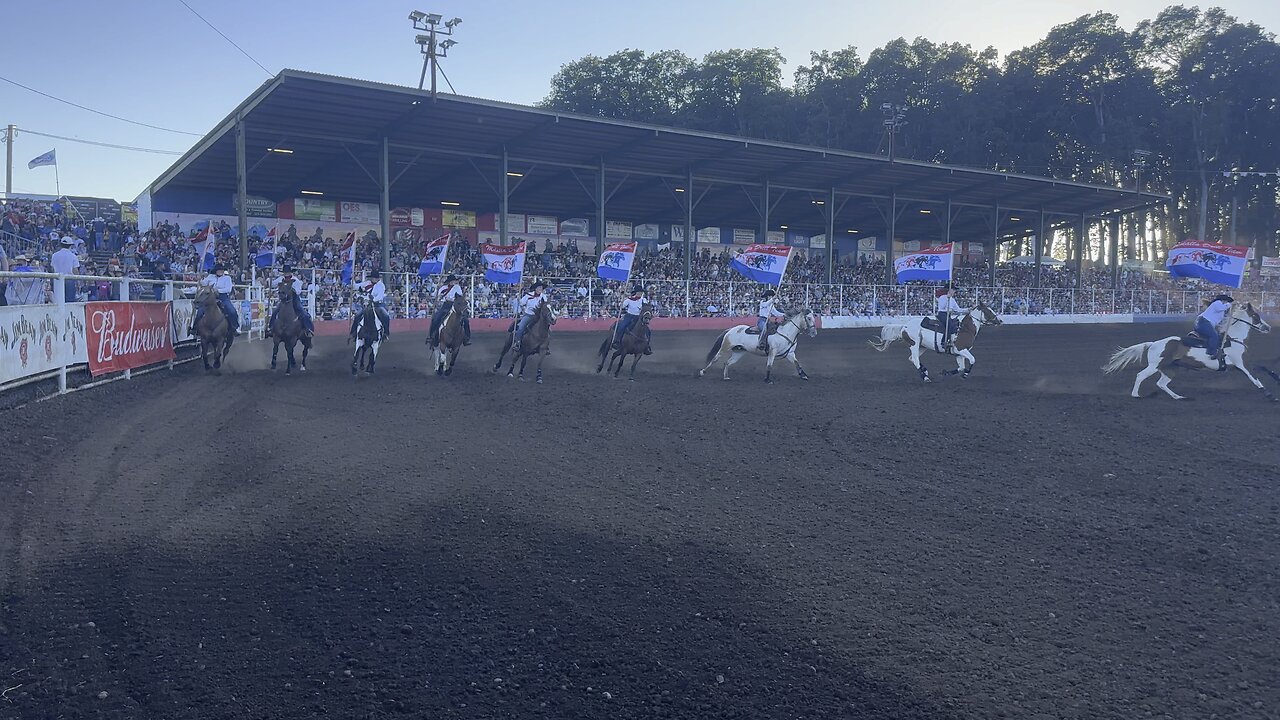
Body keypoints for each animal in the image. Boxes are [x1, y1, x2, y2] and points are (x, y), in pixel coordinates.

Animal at [865, 299, 1003, 381]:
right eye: (989, 311)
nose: (1000, 320)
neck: (965, 328)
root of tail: (904, 326)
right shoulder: (961, 349)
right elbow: (973, 360)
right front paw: (965, 374)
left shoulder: (958, 353)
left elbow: (961, 367)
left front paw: (946, 373)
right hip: (914, 345)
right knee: (915, 359)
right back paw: (925, 377)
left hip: (922, 347)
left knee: (912, 359)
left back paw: (925, 372)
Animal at [1100, 297, 1269, 397]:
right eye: (1256, 317)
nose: (1267, 327)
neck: (1232, 339)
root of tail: (1154, 343)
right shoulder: (1239, 363)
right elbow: (1251, 375)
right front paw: (1264, 389)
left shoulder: (1235, 365)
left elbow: (1255, 371)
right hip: (1155, 366)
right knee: (1140, 375)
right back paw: (1135, 395)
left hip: (1169, 369)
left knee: (1161, 384)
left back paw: (1178, 397)